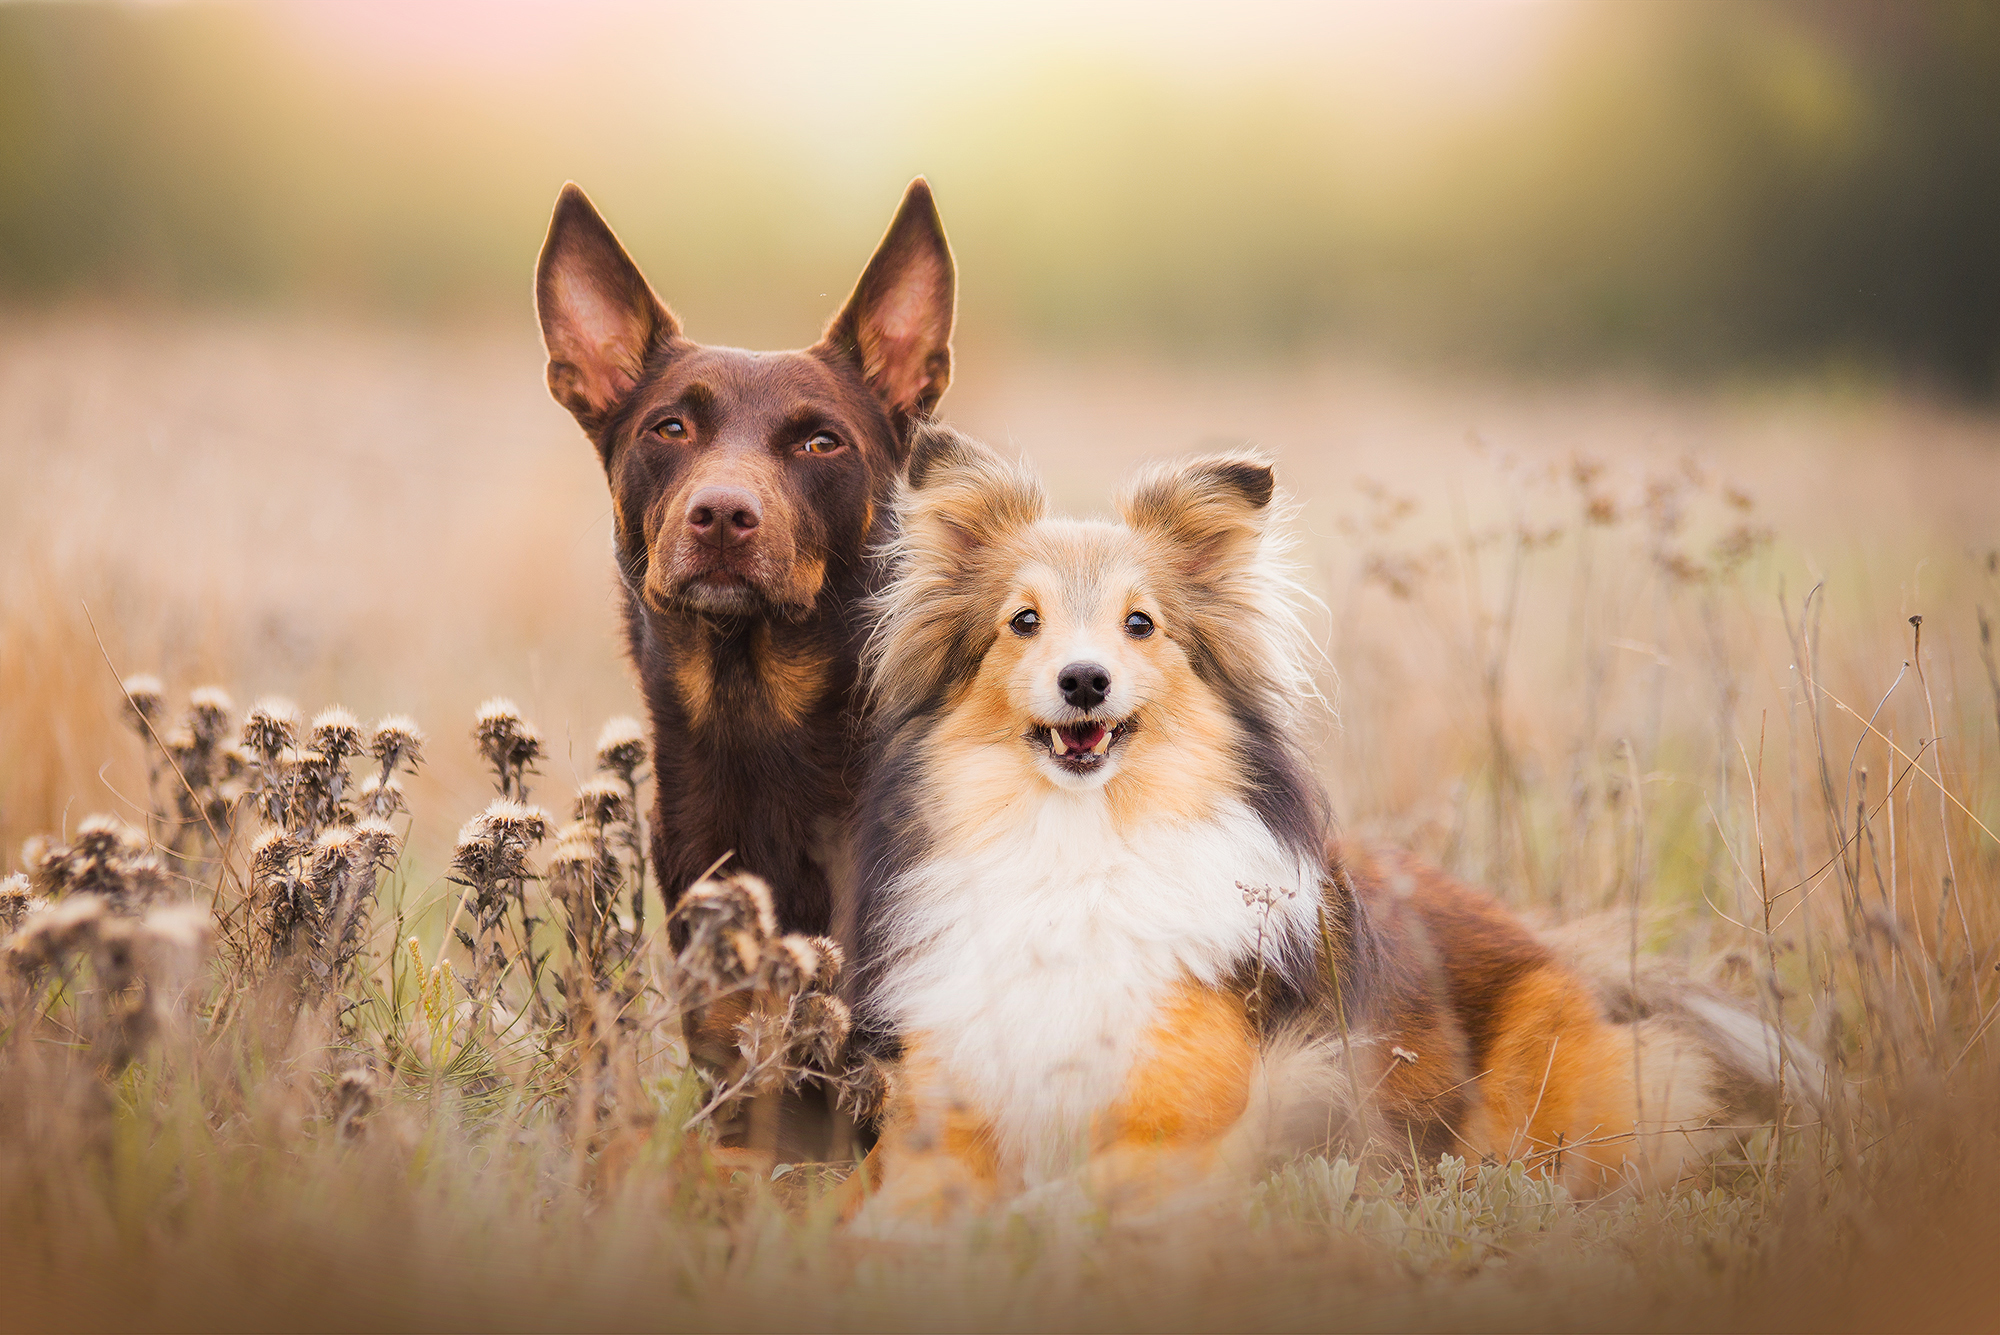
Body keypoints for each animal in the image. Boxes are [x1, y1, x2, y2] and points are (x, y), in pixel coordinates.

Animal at [844, 425, 1816, 1223]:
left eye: (1140, 623)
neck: (1080, 850)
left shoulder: (1187, 1128)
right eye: (1023, 621)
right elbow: (895, 1206)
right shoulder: (939, 1117)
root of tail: (1571, 957)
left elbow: (1064, 1204)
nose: (1084, 680)